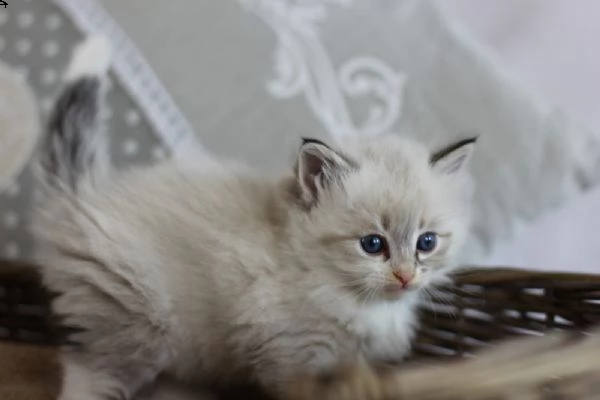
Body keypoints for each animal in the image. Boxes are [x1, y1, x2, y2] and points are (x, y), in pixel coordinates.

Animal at [31, 37, 478, 400]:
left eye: (426, 242)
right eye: (372, 245)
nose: (405, 276)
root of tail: (85, 193)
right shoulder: (291, 357)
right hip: (133, 325)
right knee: (85, 373)